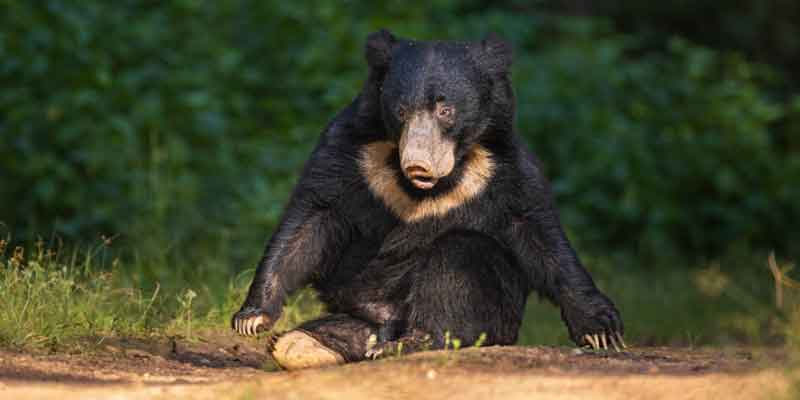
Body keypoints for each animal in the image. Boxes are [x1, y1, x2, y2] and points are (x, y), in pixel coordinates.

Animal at [231, 29, 624, 370]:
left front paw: (602, 331)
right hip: (358, 309)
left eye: (445, 110)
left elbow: (539, 232)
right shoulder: (351, 151)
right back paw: (308, 345)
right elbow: (311, 219)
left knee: (460, 255)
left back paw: (407, 342)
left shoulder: (501, 166)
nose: (417, 164)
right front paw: (251, 318)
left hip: (497, 315)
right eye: (401, 111)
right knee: (337, 328)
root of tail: (389, 322)